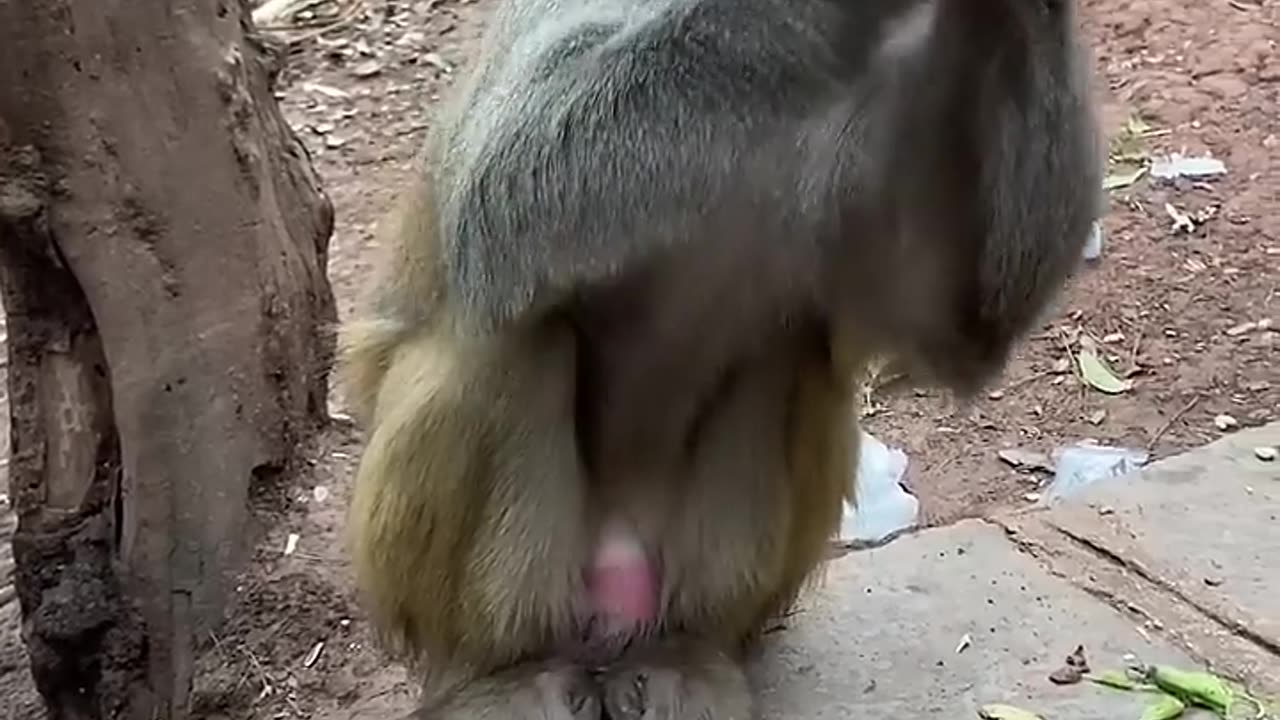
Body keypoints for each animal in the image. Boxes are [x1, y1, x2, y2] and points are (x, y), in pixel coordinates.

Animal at [338, 0, 1102, 718]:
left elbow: (951, 321)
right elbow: (498, 193)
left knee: (786, 349)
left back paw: (684, 651)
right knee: (510, 334)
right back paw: (505, 670)